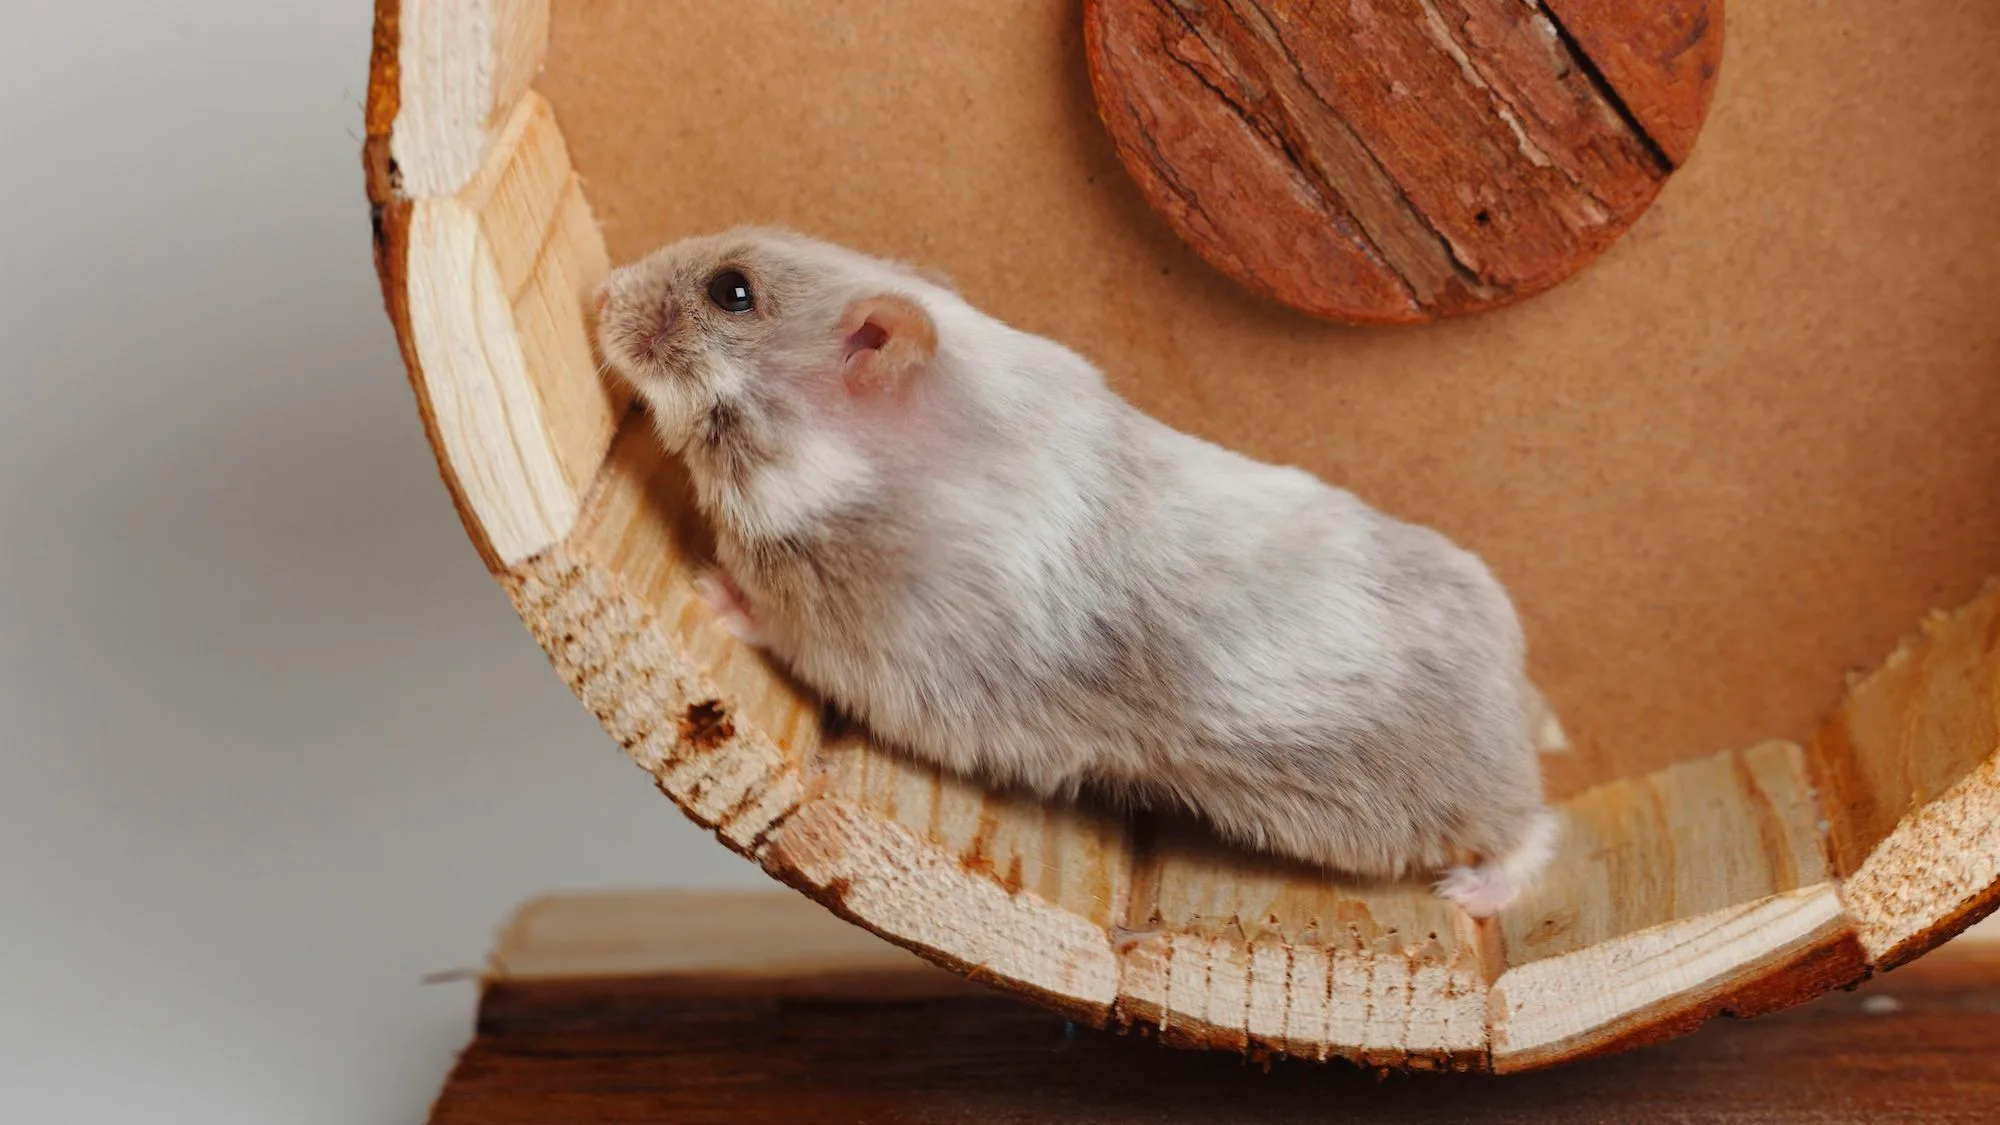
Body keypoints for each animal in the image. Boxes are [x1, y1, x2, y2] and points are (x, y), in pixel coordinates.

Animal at [594, 227, 1561, 917]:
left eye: (732, 291)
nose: (596, 291)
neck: (860, 471)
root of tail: (1519, 687)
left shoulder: (868, 646)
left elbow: (771, 619)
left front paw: (706, 586)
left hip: (1453, 790)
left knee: (1530, 826)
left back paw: (1470, 894)